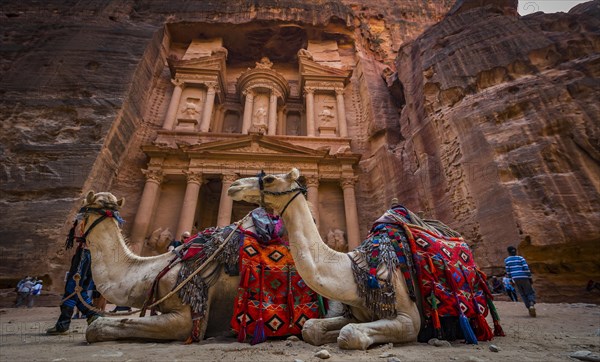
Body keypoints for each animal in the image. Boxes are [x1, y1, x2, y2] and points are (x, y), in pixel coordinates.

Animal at [230, 168, 422, 350]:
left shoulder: (409, 318)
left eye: (269, 178)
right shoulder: (355, 314)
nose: (235, 186)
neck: (355, 272)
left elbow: (348, 333)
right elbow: (310, 328)